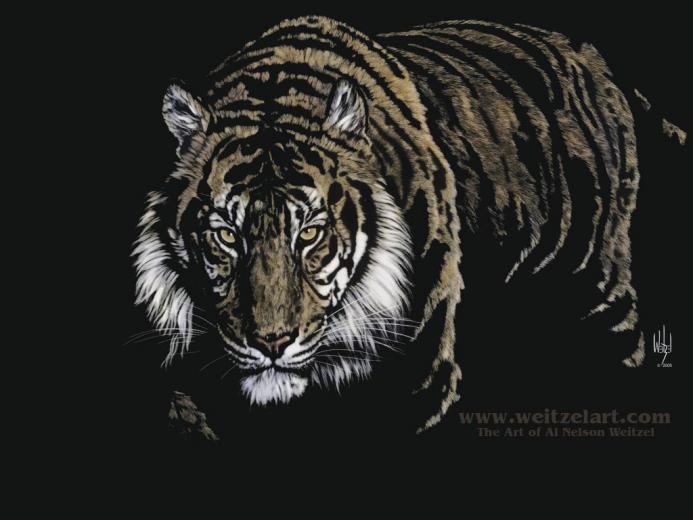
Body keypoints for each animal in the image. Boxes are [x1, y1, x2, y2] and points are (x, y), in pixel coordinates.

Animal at [133, 15, 647, 434]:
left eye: (310, 233)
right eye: (225, 236)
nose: (271, 342)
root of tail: (586, 52)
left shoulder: (419, 377)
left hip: (601, 295)